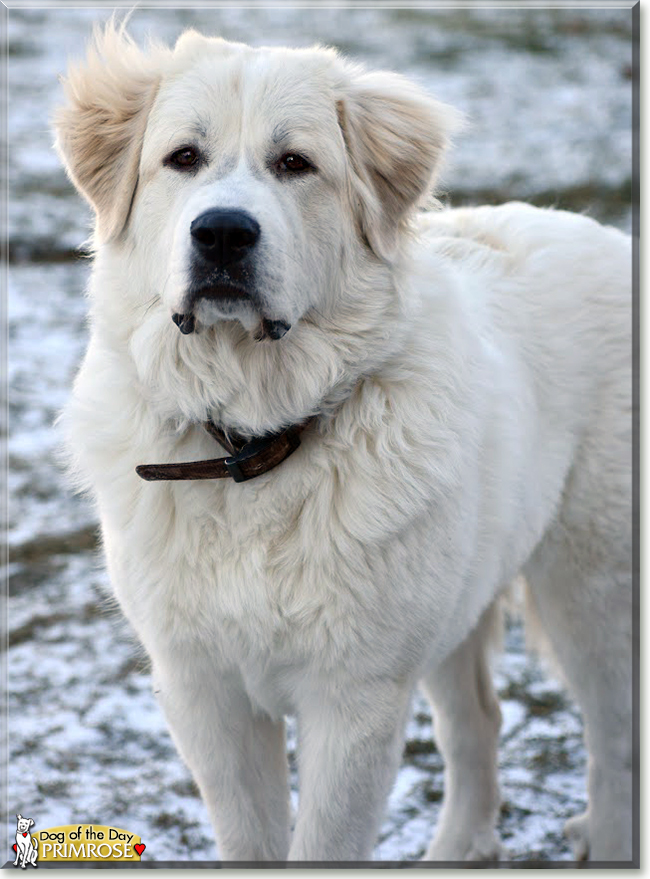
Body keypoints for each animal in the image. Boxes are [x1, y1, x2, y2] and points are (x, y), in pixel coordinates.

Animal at [53, 22, 632, 868]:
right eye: (183, 157)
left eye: (295, 164)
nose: (222, 232)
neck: (252, 445)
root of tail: (605, 236)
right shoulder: (205, 693)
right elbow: (251, 837)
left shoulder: (355, 698)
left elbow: (324, 836)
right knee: (477, 722)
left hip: (588, 591)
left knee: (615, 739)